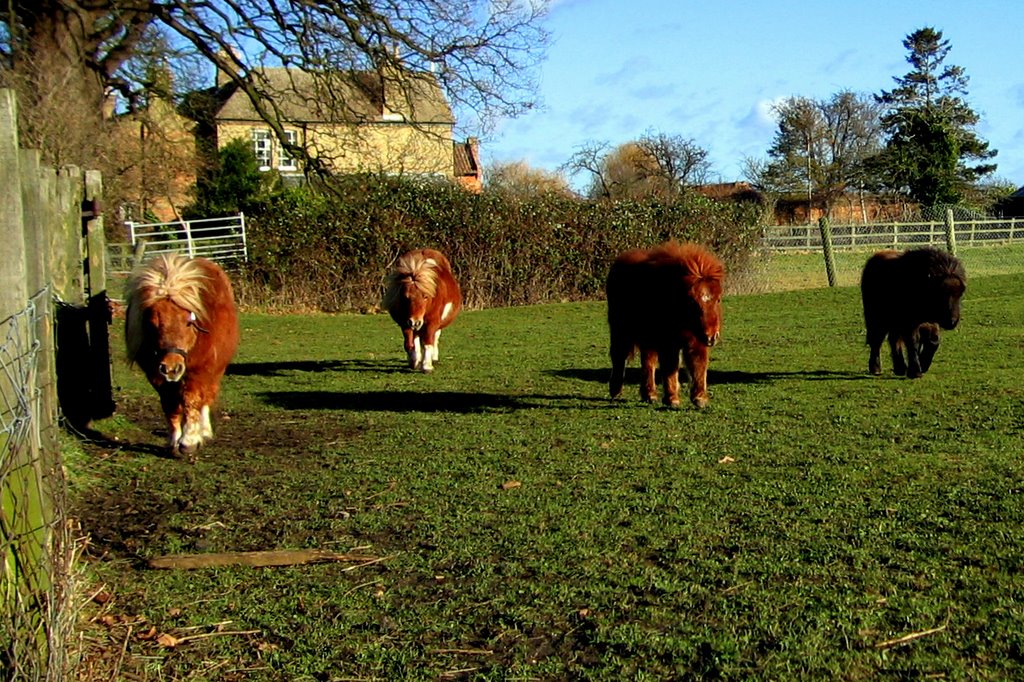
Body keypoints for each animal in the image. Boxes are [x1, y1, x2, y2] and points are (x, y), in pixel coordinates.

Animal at [123, 251, 239, 454]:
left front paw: (189, 440)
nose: (171, 368)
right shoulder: (156, 377)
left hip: (214, 371)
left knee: (206, 397)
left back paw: (204, 430)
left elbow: (192, 401)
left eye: (188, 322)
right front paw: (174, 440)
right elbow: (170, 405)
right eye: (152, 324)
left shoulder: (198, 372)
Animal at [606, 241, 729, 405]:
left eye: (718, 299)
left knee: (648, 361)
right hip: (620, 330)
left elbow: (699, 364)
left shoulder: (697, 339)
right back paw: (616, 390)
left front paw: (700, 398)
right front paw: (672, 399)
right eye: (692, 301)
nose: (712, 336)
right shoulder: (668, 341)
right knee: (619, 355)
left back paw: (649, 394)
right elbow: (670, 365)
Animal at [860, 245, 962, 376]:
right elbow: (913, 341)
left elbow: (933, 341)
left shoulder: (929, 322)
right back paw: (876, 368)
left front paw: (922, 366)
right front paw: (916, 371)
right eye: (940, 293)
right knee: (876, 340)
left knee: (892, 339)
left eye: (960, 293)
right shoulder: (909, 323)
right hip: (876, 319)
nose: (952, 321)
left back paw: (900, 368)